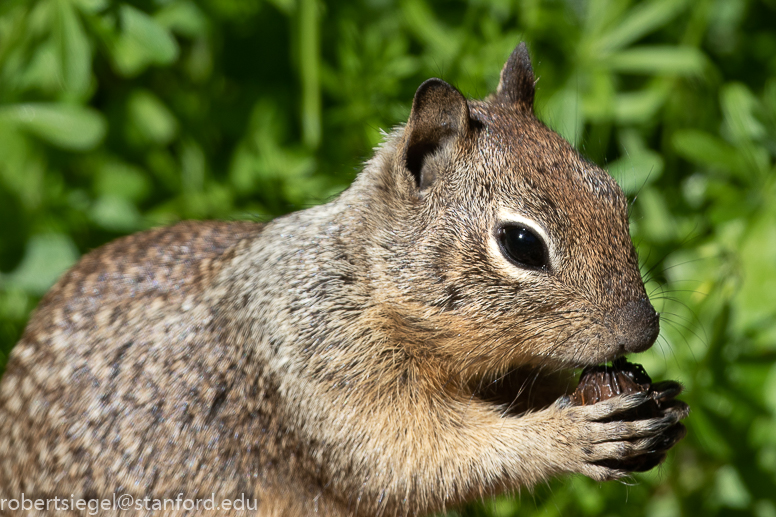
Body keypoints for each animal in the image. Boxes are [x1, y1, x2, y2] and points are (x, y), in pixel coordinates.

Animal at [0, 45, 688, 516]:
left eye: (614, 194)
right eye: (522, 244)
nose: (643, 330)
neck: (363, 282)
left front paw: (664, 401)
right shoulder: (328, 378)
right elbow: (419, 459)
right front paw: (569, 435)